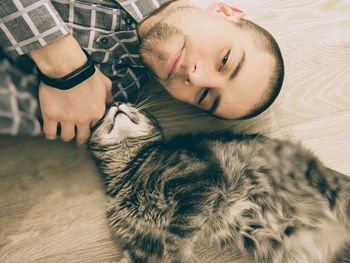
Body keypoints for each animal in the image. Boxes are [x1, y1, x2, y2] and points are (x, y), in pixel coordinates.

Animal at [87, 103, 350, 263]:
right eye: (104, 112)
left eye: (131, 104)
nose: (117, 102)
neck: (130, 172)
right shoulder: (142, 244)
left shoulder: (199, 183)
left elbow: (176, 235)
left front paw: (179, 256)